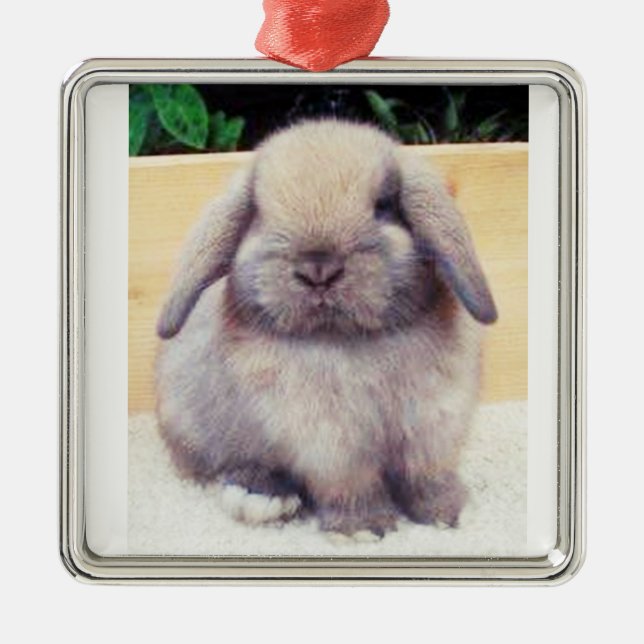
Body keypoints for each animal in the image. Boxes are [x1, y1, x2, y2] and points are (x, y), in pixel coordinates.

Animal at [155, 119, 497, 538]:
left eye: (383, 206)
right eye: (261, 215)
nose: (318, 268)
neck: (345, 338)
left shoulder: (434, 421)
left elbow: (428, 474)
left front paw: (446, 513)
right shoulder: (329, 442)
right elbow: (351, 483)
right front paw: (364, 528)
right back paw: (262, 496)